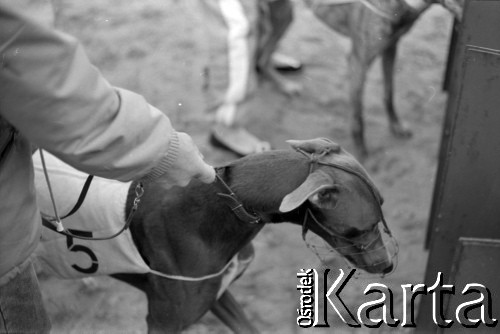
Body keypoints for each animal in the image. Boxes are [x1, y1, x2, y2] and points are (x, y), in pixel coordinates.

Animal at [302, 0, 462, 157]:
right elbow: (357, 113)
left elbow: (389, 92)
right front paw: (360, 151)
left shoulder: (390, 48)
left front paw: (396, 125)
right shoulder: (358, 62)